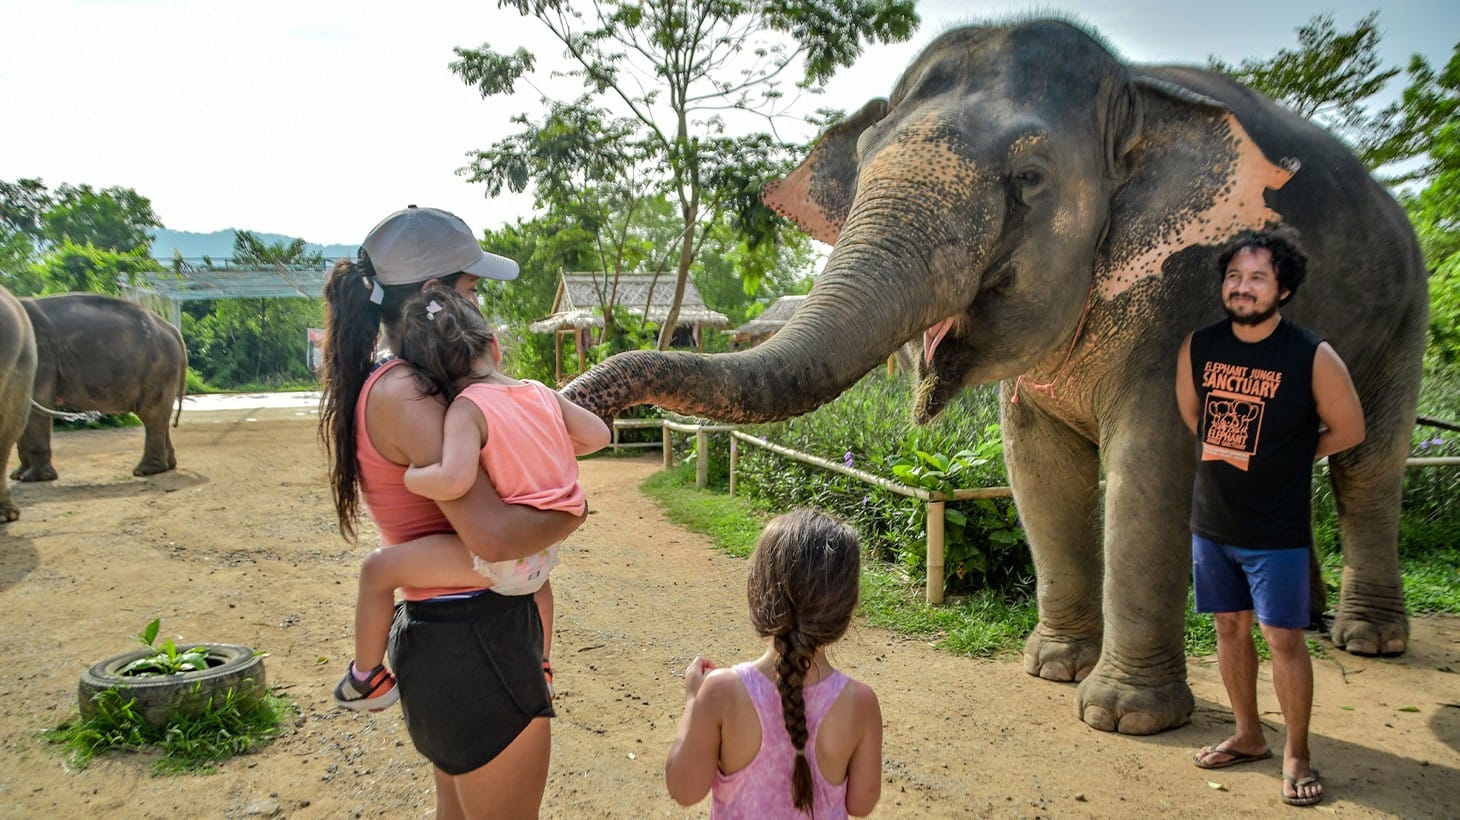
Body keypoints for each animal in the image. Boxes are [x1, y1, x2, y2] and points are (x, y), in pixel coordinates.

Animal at [12, 293, 188, 480]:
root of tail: (172, 329)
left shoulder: (40, 358)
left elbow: (37, 405)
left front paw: (33, 478)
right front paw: (17, 476)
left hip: (159, 370)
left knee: (152, 415)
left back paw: (145, 471)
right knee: (161, 417)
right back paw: (168, 465)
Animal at [560, 19, 1427, 735]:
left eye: (1031, 178)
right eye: (863, 169)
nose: (571, 415)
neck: (1132, 88)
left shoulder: (1188, 293)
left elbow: (1148, 467)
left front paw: (1121, 716)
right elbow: (1035, 465)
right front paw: (1050, 668)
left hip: (1405, 312)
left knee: (1368, 463)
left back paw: (1367, 638)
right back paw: (1306, 622)